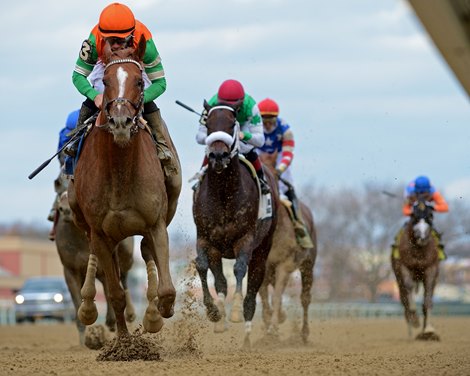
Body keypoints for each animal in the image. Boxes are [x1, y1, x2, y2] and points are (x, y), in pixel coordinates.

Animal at [56, 191, 136, 346]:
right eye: (60, 195)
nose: (65, 210)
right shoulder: (70, 271)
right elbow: (78, 301)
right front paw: (83, 341)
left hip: (126, 258)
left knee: (123, 278)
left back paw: (127, 315)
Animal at [68, 37, 180, 344]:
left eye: (139, 81)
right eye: (105, 81)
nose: (120, 122)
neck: (120, 173)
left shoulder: (156, 224)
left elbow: (166, 289)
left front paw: (158, 313)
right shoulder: (101, 232)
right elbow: (115, 294)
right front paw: (124, 343)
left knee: (146, 251)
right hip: (84, 220)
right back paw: (87, 306)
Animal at [192, 100, 278, 346]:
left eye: (232, 124)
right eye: (208, 123)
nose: (218, 155)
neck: (224, 194)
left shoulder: (245, 239)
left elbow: (240, 268)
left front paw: (236, 310)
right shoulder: (206, 239)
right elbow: (203, 267)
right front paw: (214, 312)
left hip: (263, 248)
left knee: (254, 285)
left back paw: (247, 335)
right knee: (220, 280)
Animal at [255, 151, 318, 342]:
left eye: (273, 172)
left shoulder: (284, 263)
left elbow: (276, 296)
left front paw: (273, 328)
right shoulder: (263, 264)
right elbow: (264, 294)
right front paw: (269, 322)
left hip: (308, 264)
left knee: (305, 297)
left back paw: (304, 333)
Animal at [390, 194, 440, 340]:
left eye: (430, 216)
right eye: (414, 216)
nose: (422, 237)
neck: (419, 250)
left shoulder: (431, 269)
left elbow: (427, 299)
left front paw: (428, 330)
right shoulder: (404, 267)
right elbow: (408, 289)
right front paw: (415, 320)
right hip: (398, 276)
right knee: (404, 297)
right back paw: (411, 326)